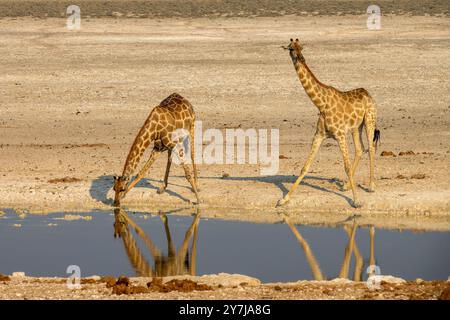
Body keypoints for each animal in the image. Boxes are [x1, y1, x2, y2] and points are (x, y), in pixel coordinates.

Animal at [278, 38, 380, 209]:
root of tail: (368, 93)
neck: (321, 104)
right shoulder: (319, 135)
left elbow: (346, 166)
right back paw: (346, 185)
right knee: (360, 149)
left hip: (369, 118)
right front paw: (284, 200)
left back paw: (372, 186)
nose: (301, 58)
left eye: (301, 47)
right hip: (356, 127)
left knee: (371, 147)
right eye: (291, 49)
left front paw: (357, 201)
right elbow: (305, 167)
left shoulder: (340, 135)